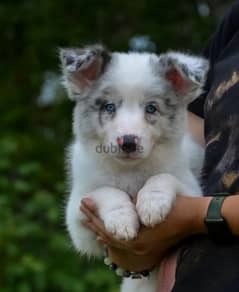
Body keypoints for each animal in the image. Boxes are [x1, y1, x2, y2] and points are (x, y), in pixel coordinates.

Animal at [59, 44, 207, 290]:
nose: (128, 142)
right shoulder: (78, 217)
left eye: (151, 108)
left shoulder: (192, 190)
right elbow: (107, 190)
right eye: (109, 106)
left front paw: (152, 204)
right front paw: (122, 220)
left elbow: (163, 177)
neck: (130, 170)